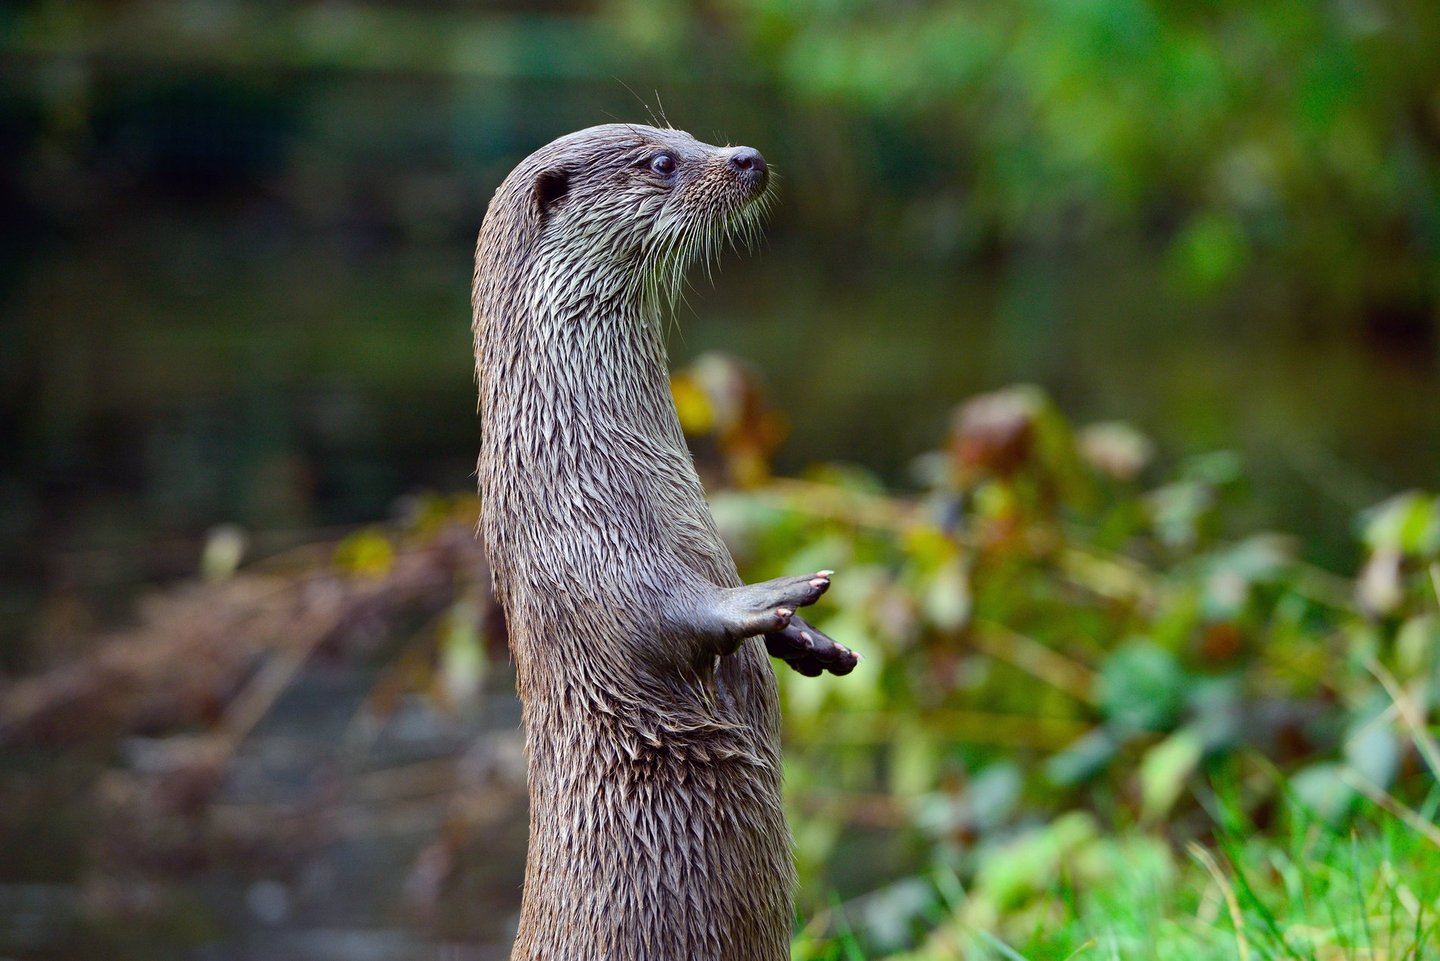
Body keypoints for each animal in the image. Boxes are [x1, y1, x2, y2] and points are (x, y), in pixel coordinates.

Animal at [472, 124, 858, 961]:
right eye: (660, 161)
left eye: (686, 134)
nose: (746, 157)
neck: (577, 456)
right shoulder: (575, 545)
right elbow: (655, 617)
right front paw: (770, 595)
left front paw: (809, 642)